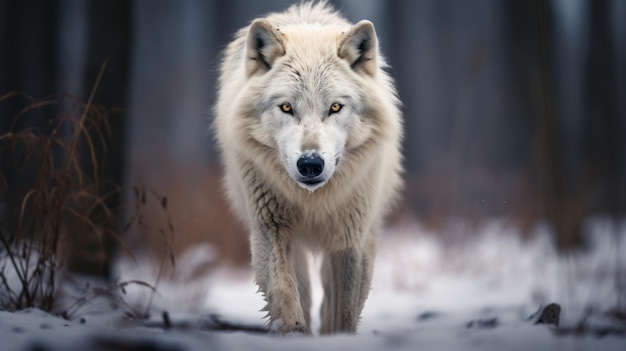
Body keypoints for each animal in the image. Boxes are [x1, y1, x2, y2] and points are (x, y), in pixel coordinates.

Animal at [212, 0, 402, 336]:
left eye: (335, 107)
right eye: (287, 107)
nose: (310, 164)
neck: (313, 201)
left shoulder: (352, 239)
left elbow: (344, 310)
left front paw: (339, 337)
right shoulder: (270, 228)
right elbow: (285, 292)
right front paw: (294, 332)